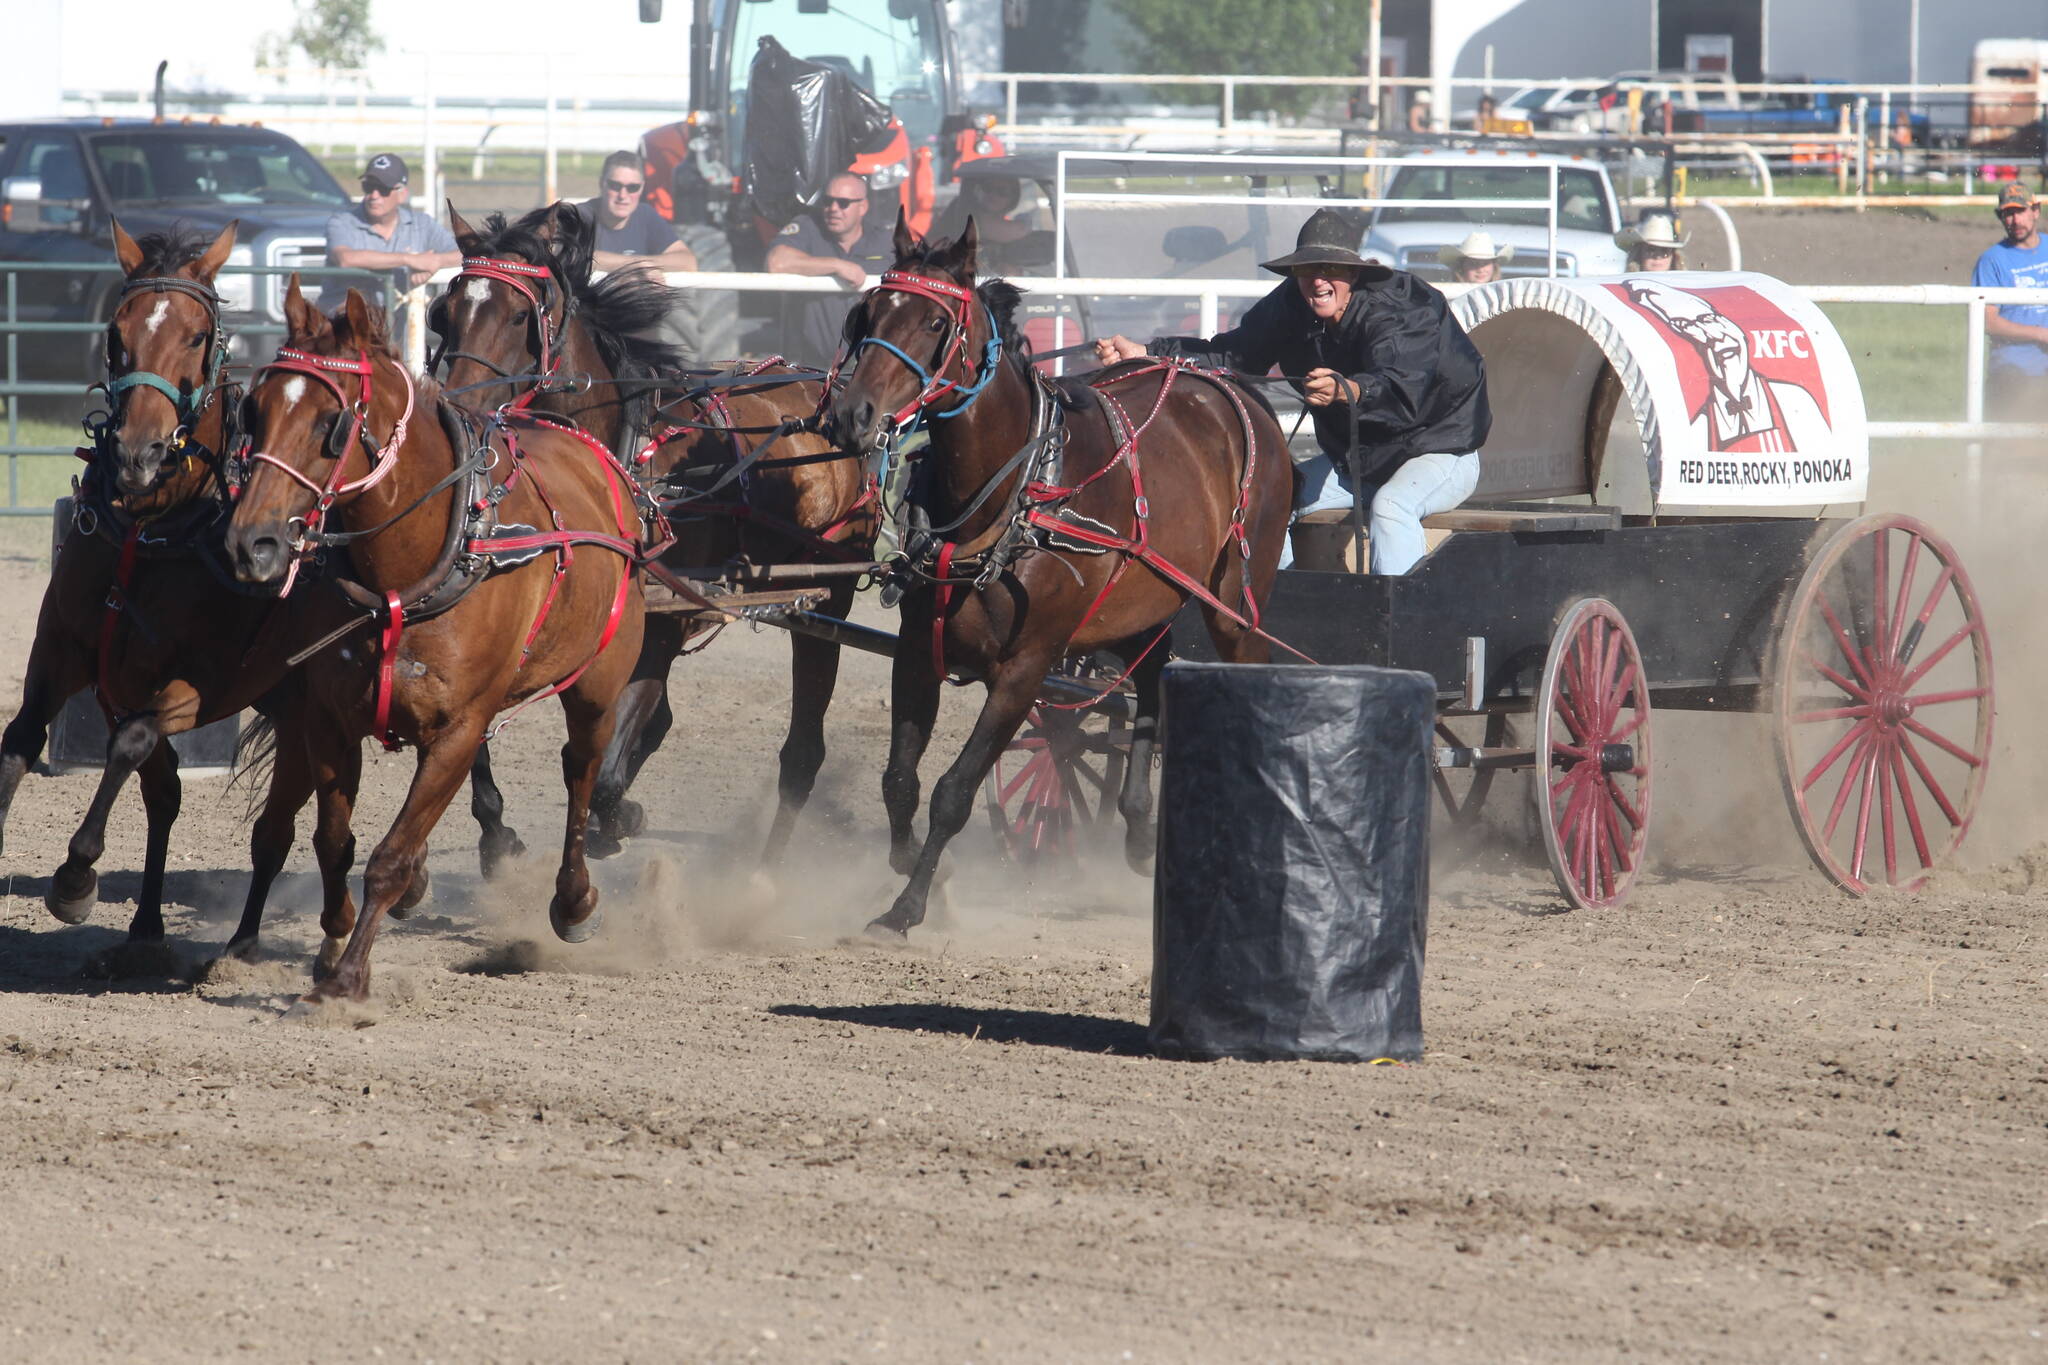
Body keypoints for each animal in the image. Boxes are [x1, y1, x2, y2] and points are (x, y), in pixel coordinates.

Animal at [223, 280, 643, 1002]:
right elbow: (334, 841)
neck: (411, 565)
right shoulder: (329, 721)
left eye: (331, 424)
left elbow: (388, 858)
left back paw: (574, 899)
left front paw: (348, 982)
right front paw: (333, 943)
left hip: (597, 685)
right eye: (256, 408)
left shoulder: (459, 731)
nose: (252, 543)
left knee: (581, 769)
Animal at [438, 201, 872, 863]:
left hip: (829, 593)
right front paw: (496, 830)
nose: (460, 407)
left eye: (520, 315)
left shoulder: (659, 627)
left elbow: (610, 769)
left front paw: (615, 820)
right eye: (446, 310)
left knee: (802, 734)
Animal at [819, 215, 1286, 941]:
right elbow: (900, 778)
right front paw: (909, 867)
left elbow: (954, 791)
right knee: (1151, 681)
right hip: (1143, 603)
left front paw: (909, 904)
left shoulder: (1028, 667)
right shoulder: (918, 651)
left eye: (934, 321)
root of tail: (1225, 387)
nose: (851, 416)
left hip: (1234, 604)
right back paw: (1137, 827)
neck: (1015, 491)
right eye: (866, 312)